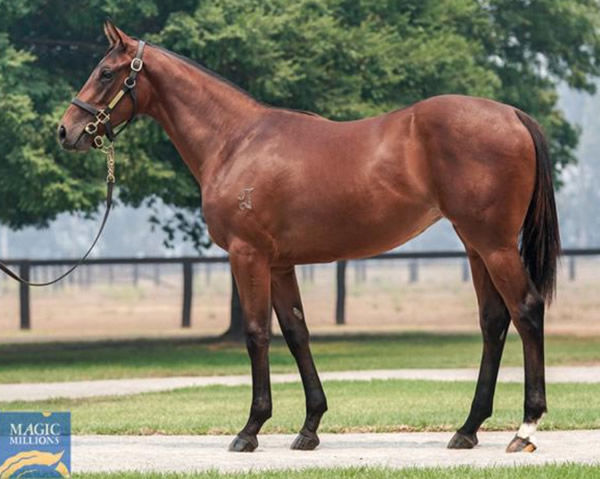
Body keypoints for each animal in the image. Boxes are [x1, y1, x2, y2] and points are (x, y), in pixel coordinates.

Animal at [58, 22, 560, 456]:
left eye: (106, 72)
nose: (66, 130)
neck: (235, 141)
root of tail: (513, 115)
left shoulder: (247, 256)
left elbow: (257, 333)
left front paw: (250, 430)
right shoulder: (280, 264)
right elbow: (297, 333)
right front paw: (310, 427)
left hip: (494, 244)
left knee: (526, 310)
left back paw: (525, 429)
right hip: (475, 245)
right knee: (493, 321)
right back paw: (468, 428)